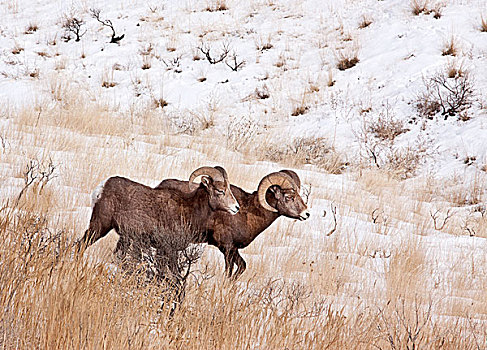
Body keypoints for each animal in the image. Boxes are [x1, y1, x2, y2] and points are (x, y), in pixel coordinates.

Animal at [76, 167, 240, 262]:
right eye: (220, 190)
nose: (236, 207)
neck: (188, 211)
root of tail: (102, 187)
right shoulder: (167, 249)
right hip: (99, 226)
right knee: (80, 245)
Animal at [154, 170, 310, 278]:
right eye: (289, 197)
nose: (306, 214)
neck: (249, 213)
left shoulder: (234, 249)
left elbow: (242, 267)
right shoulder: (227, 248)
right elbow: (230, 270)